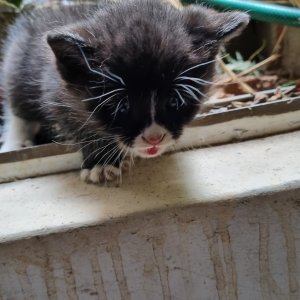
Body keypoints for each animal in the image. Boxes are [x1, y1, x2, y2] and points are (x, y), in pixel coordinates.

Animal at [0, 0, 248, 184]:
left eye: (175, 101)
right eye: (122, 106)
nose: (154, 138)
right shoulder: (53, 89)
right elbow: (77, 122)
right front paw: (102, 161)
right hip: (16, 68)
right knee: (18, 106)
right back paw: (14, 142)